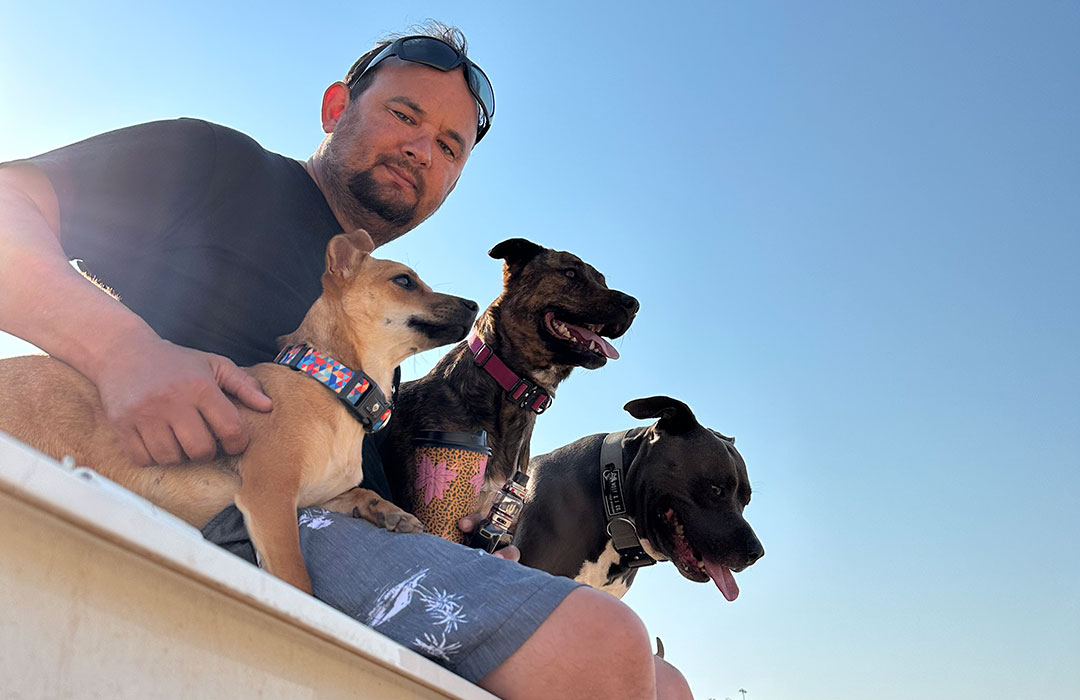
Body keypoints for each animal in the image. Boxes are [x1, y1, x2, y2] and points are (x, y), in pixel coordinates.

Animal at [0, 232, 477, 591]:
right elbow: (296, 580)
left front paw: (386, 509)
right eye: (405, 281)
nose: (473, 305)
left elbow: (358, 493)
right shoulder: (270, 498)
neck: (331, 385)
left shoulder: (310, 496)